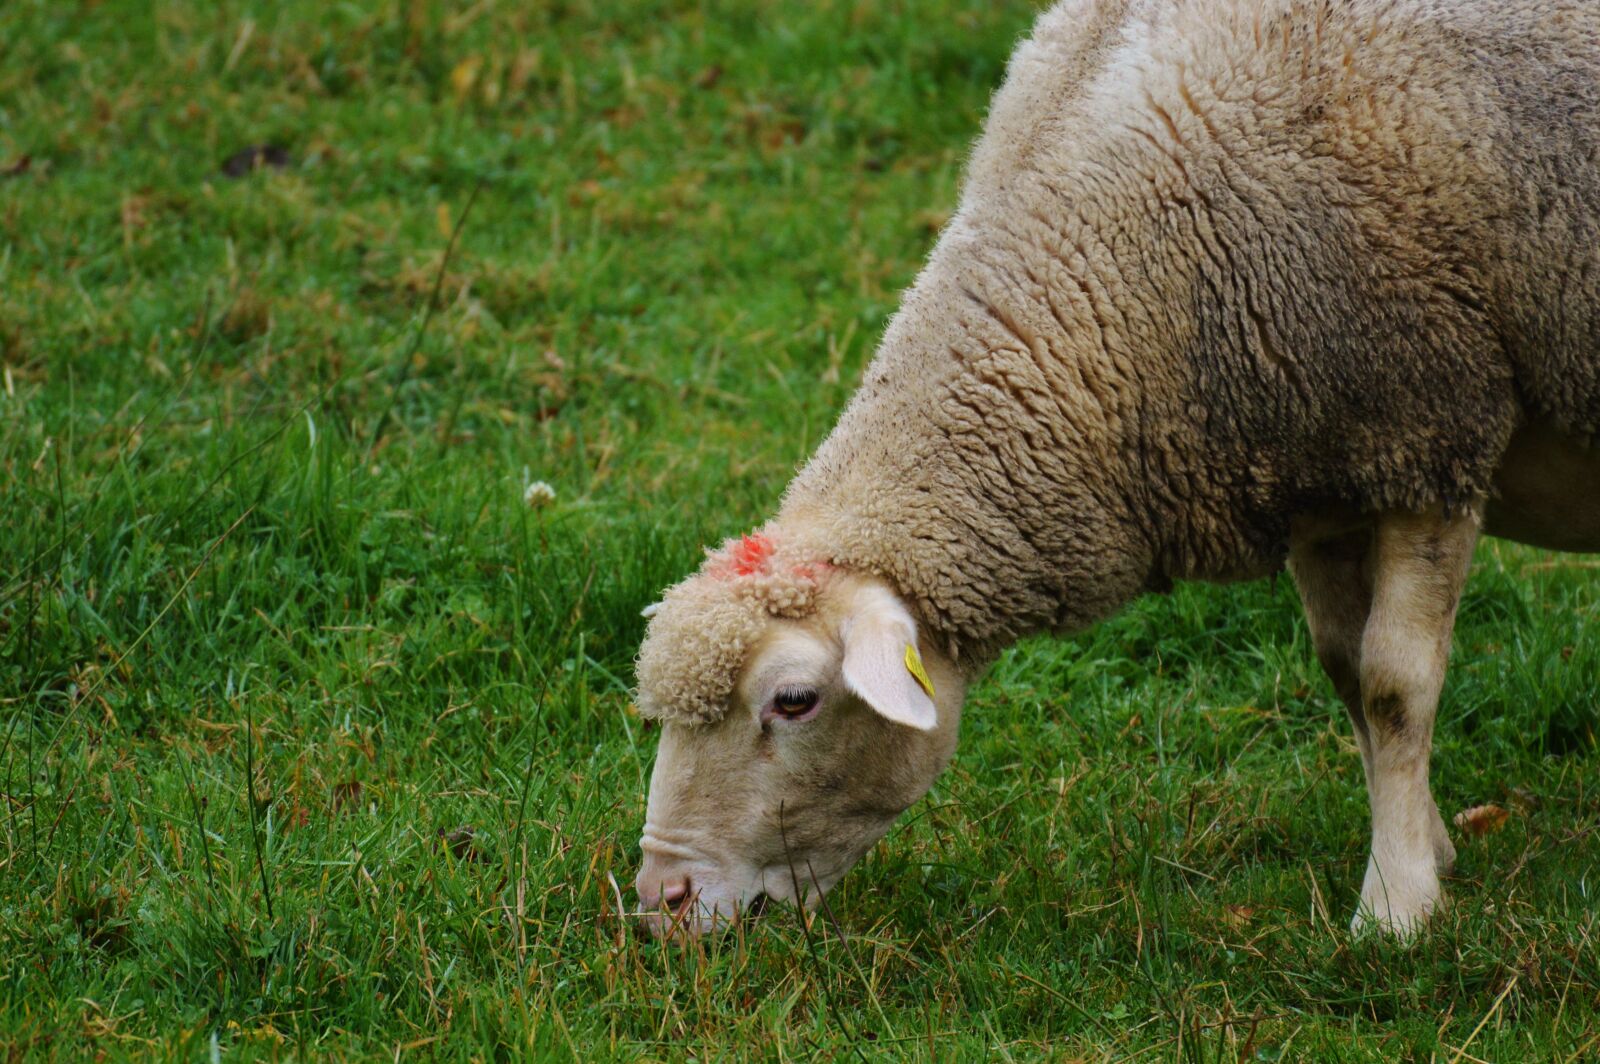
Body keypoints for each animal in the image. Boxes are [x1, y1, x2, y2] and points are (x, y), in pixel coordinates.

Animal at [632, 0, 1600, 940]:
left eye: (793, 701)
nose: (658, 902)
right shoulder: (1324, 481)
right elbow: (1344, 671)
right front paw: (1429, 848)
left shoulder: (1432, 437)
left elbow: (1395, 685)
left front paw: (1397, 908)